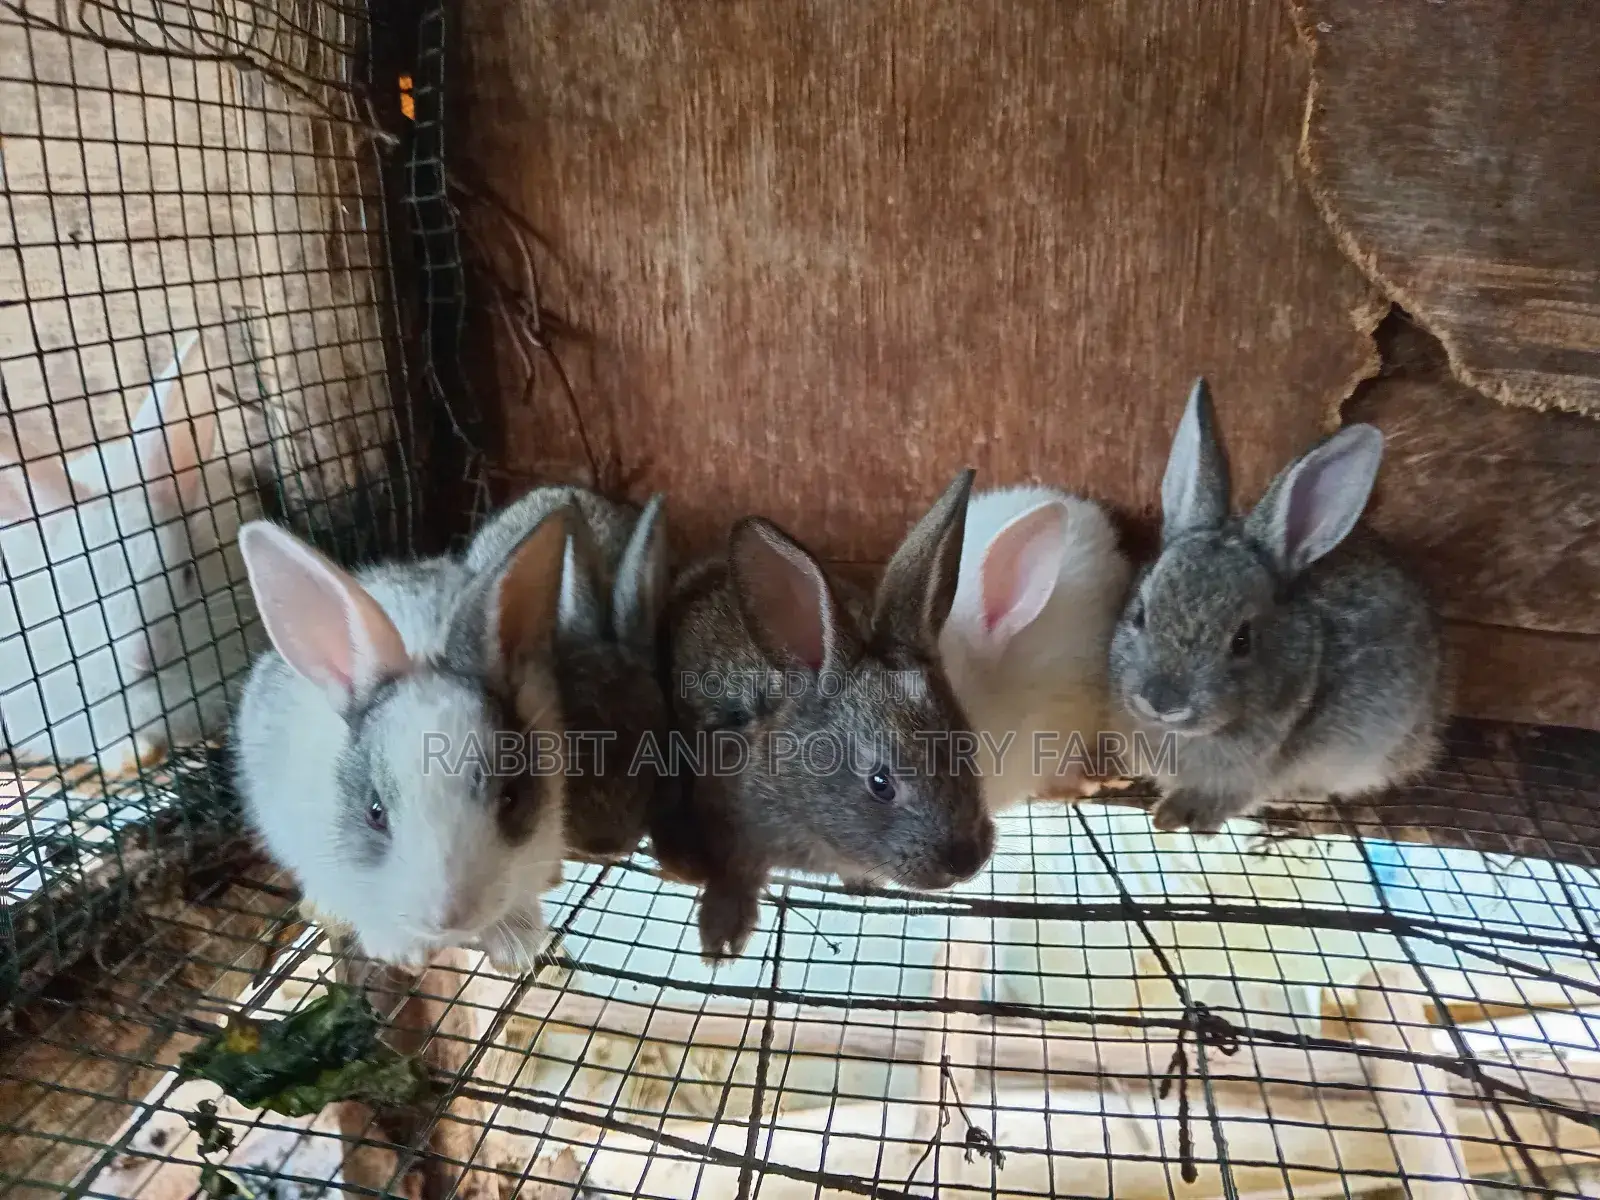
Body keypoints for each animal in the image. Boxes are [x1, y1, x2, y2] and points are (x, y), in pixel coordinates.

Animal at [655, 469, 997, 962]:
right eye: (881, 783)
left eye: (967, 745)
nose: (966, 861)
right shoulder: (729, 819)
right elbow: (735, 871)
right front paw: (722, 936)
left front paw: (863, 884)